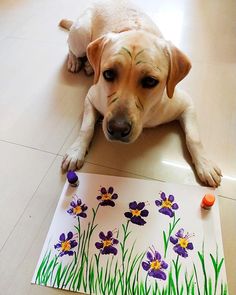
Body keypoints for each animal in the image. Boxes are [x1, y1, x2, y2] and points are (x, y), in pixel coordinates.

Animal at [60, 0, 222, 187]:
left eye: (150, 81)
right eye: (108, 74)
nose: (117, 129)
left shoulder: (187, 103)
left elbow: (193, 137)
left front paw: (205, 164)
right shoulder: (91, 98)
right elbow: (86, 128)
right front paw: (76, 150)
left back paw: (88, 65)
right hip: (81, 33)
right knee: (71, 47)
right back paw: (75, 61)